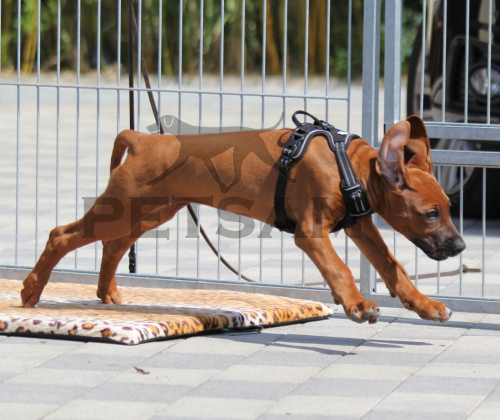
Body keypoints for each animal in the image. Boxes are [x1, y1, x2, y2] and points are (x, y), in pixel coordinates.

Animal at [19, 113, 464, 324]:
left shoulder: (362, 227)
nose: (460, 246)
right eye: (430, 214)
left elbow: (393, 269)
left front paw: (425, 305)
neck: (347, 167)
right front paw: (356, 304)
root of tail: (145, 139)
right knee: (61, 235)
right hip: (123, 209)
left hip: (147, 212)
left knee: (112, 246)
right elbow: (340, 270)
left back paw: (107, 293)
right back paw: (31, 290)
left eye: (449, 208)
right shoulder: (311, 232)